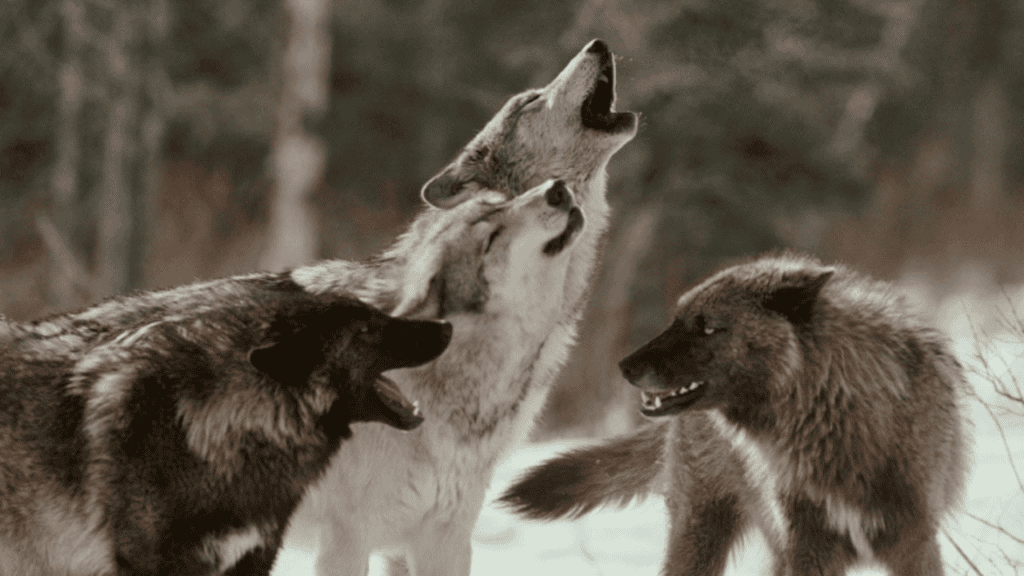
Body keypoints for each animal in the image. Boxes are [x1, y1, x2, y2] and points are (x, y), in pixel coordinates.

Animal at [501, 253, 970, 576]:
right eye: (677, 319)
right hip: (700, 535)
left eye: (708, 327)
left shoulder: (915, 544)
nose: (625, 366)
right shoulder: (807, 548)